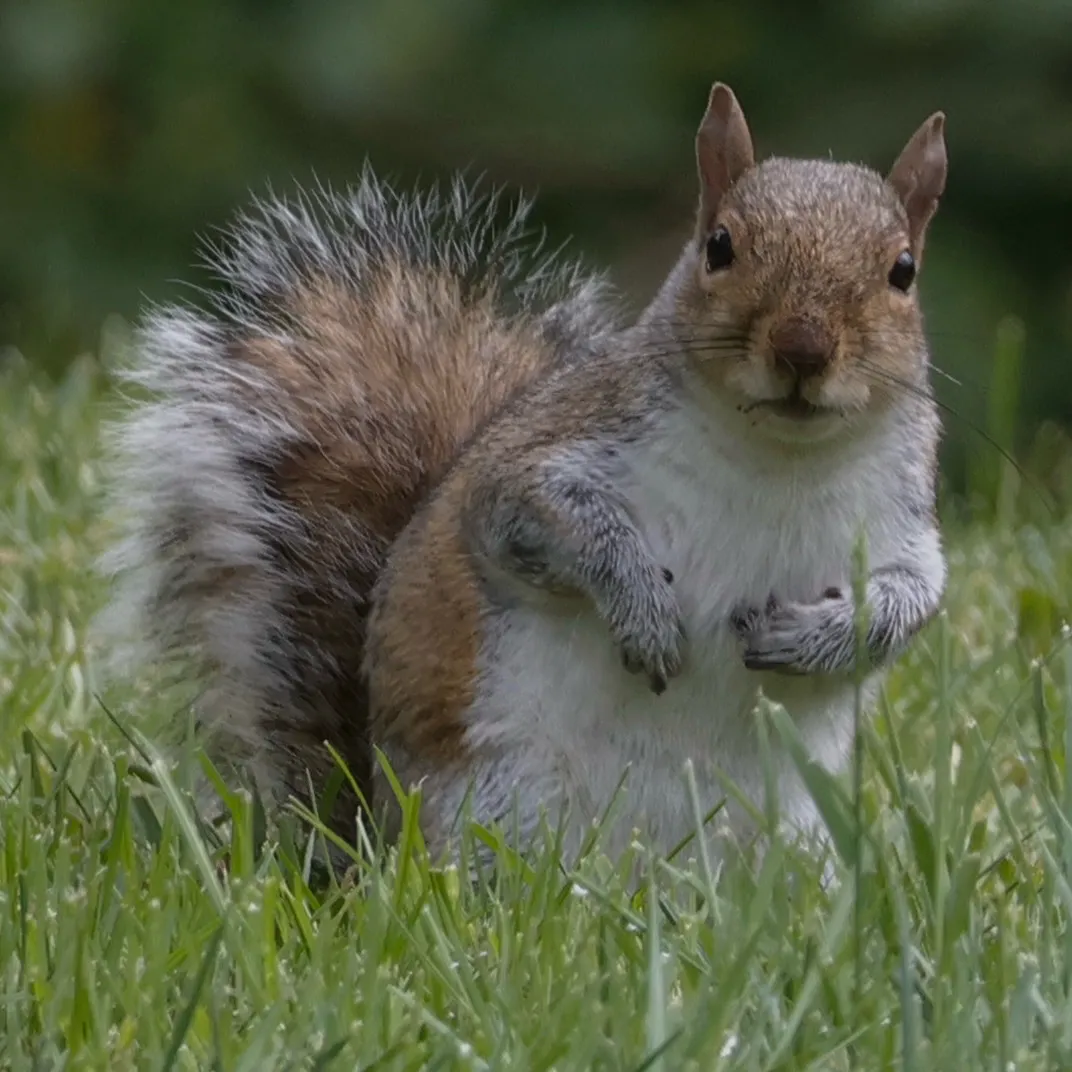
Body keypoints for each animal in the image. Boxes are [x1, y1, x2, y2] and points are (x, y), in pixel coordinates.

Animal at [101, 83, 948, 866]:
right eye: (720, 246)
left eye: (904, 271)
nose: (804, 349)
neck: (778, 457)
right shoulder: (551, 453)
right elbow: (540, 519)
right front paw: (642, 606)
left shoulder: (901, 518)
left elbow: (914, 599)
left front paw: (821, 637)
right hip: (503, 809)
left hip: (798, 842)